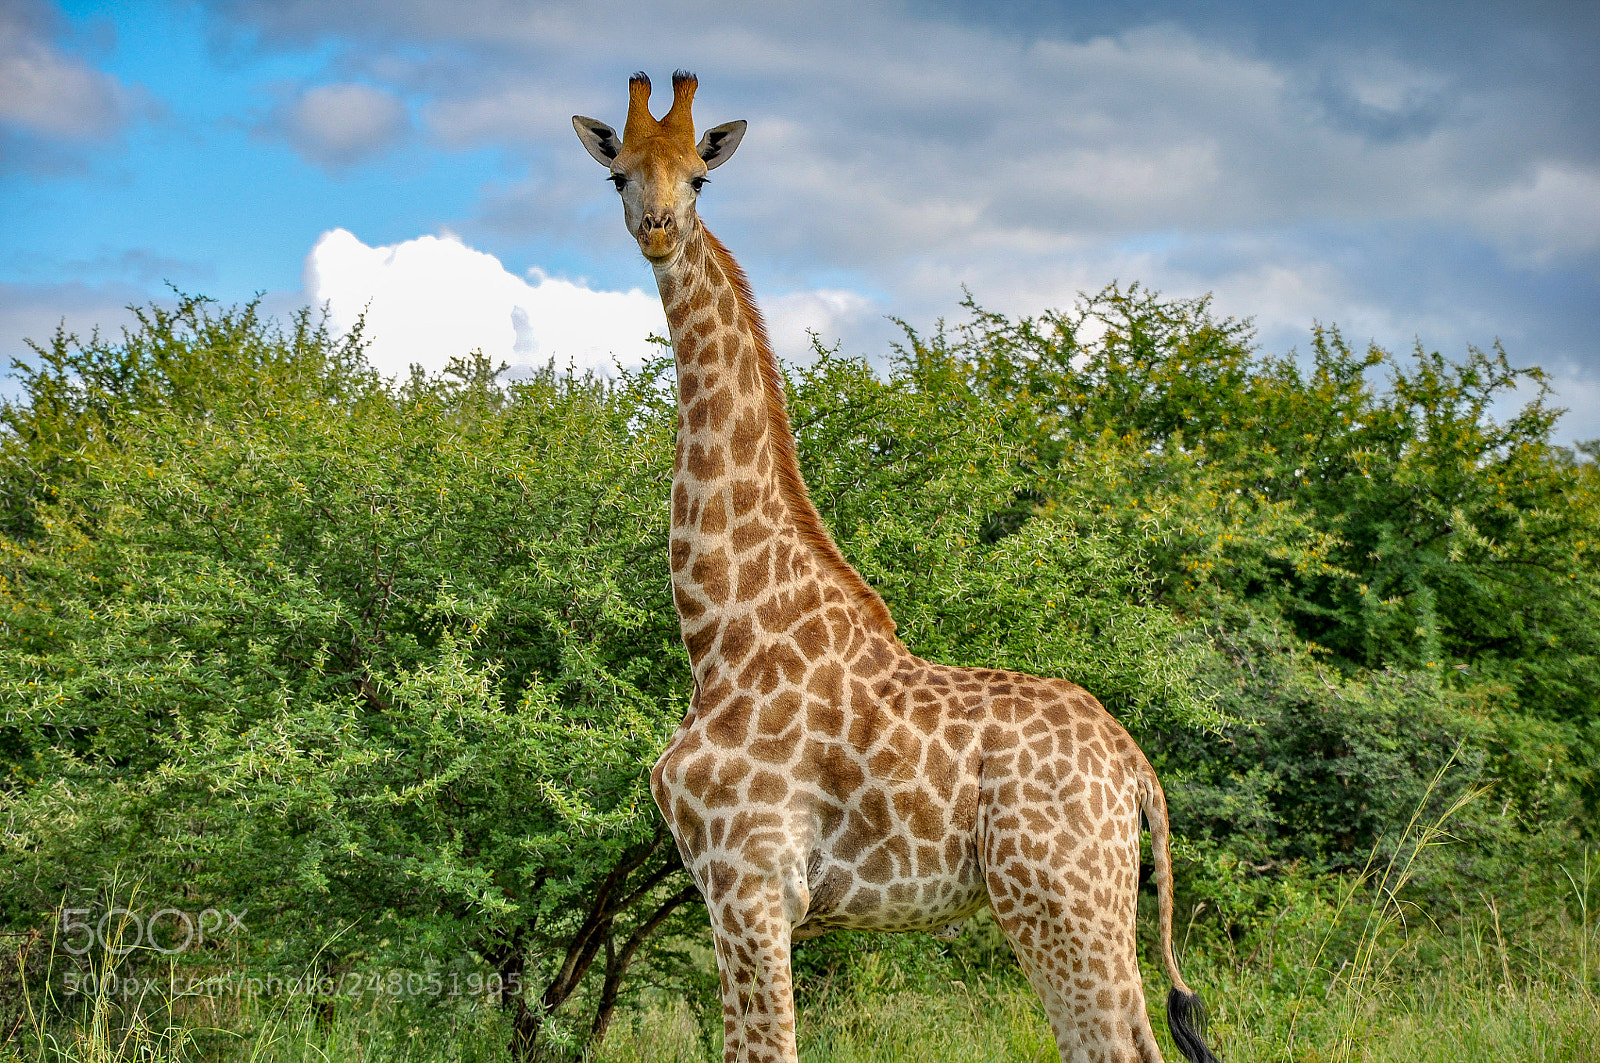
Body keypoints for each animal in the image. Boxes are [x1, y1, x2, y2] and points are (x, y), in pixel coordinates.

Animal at [573, 71, 1221, 1063]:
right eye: (618, 174)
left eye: (700, 177)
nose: (657, 227)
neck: (721, 630)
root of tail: (1136, 767)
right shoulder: (729, 891)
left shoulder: (750, 881)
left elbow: (768, 1051)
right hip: (1080, 901)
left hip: (1060, 899)